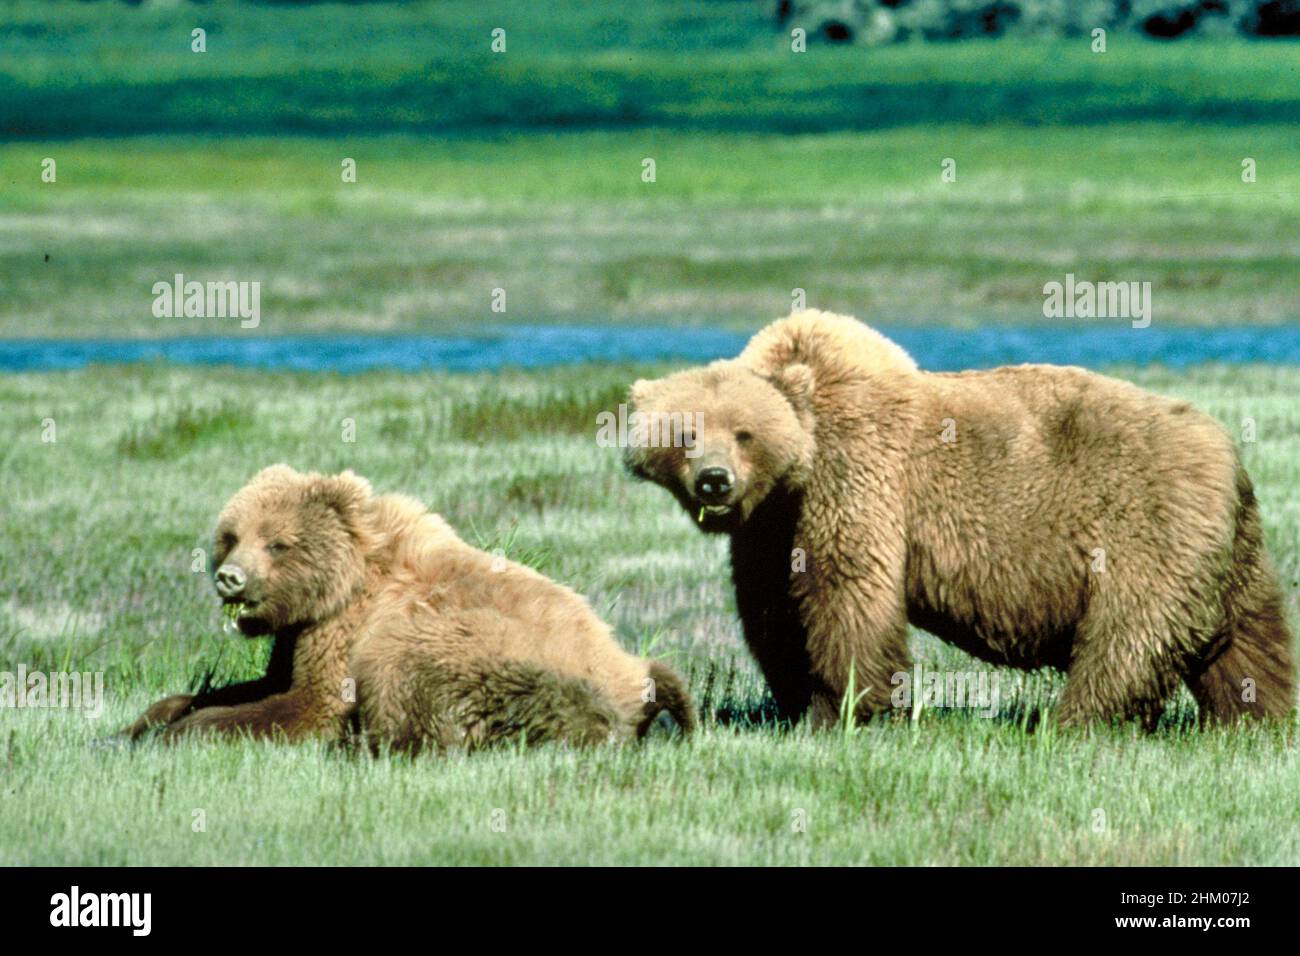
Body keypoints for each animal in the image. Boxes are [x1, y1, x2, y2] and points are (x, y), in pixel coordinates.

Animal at [123, 465, 694, 751]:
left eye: (278, 543)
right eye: (231, 535)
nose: (230, 577)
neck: (342, 584)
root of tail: (635, 675)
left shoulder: (347, 629)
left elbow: (310, 704)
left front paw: (184, 732)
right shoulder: (301, 633)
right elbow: (263, 683)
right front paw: (147, 720)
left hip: (499, 655)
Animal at [624, 309, 1295, 729]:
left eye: (745, 432)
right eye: (684, 433)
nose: (715, 480)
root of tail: (1227, 451)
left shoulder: (857, 479)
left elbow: (847, 596)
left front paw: (844, 709)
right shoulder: (769, 526)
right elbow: (772, 611)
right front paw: (795, 701)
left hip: (1144, 523)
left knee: (1129, 636)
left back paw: (1072, 722)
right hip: (1228, 547)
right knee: (1247, 636)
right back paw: (1256, 718)